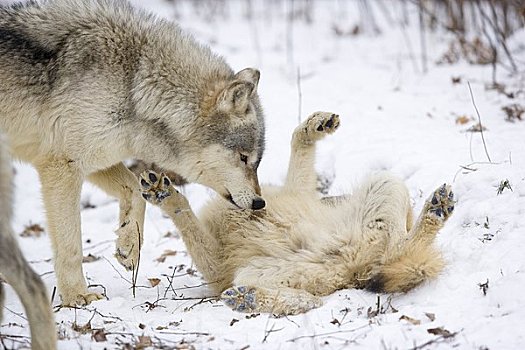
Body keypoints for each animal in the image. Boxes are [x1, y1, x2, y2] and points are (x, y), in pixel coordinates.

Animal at [0, 0, 264, 306]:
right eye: (244, 158)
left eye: (257, 162)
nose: (260, 203)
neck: (133, 86)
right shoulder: (62, 165)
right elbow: (70, 245)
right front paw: (77, 296)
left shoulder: (95, 159)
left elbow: (135, 191)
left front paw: (129, 246)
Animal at [140, 113, 454, 316]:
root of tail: (355, 268)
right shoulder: (219, 268)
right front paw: (161, 192)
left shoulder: (218, 266)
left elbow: (183, 213)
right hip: (254, 273)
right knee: (313, 302)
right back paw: (247, 299)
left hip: (385, 182)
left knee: (401, 249)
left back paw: (436, 209)